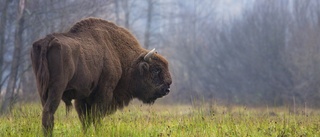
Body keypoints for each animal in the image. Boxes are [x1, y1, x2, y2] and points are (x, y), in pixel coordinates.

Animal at [31, 17, 172, 136]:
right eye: (156, 70)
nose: (168, 86)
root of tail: (47, 42)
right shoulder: (103, 93)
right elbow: (96, 117)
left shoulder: (83, 98)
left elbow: (86, 120)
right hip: (57, 88)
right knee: (49, 111)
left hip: (42, 89)